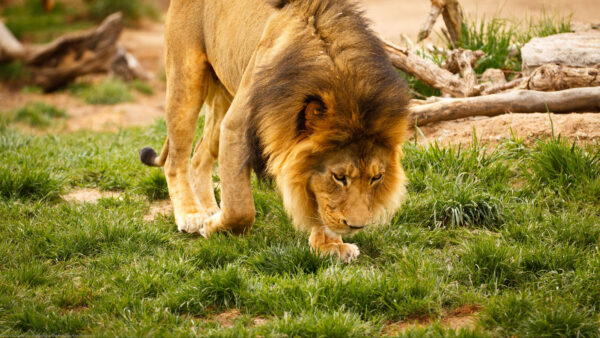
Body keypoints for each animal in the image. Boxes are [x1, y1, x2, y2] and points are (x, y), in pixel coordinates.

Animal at [140, 0, 410, 262]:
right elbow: (241, 208)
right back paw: (192, 215)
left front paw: (330, 246)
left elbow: (317, 201)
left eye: (376, 177)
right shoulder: (236, 126)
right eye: (339, 177)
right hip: (186, 80)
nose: (356, 226)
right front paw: (213, 227)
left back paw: (208, 209)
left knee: (198, 156)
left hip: (224, 97)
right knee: (175, 161)